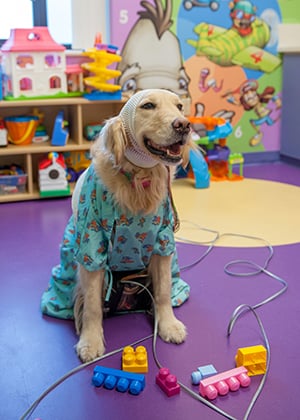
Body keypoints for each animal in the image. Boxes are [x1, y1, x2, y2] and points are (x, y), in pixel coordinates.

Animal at [71, 88, 192, 360]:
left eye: (180, 106)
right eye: (148, 106)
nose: (183, 125)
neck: (138, 176)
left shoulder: (163, 242)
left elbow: (163, 291)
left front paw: (168, 324)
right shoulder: (92, 245)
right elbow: (92, 304)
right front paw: (90, 342)